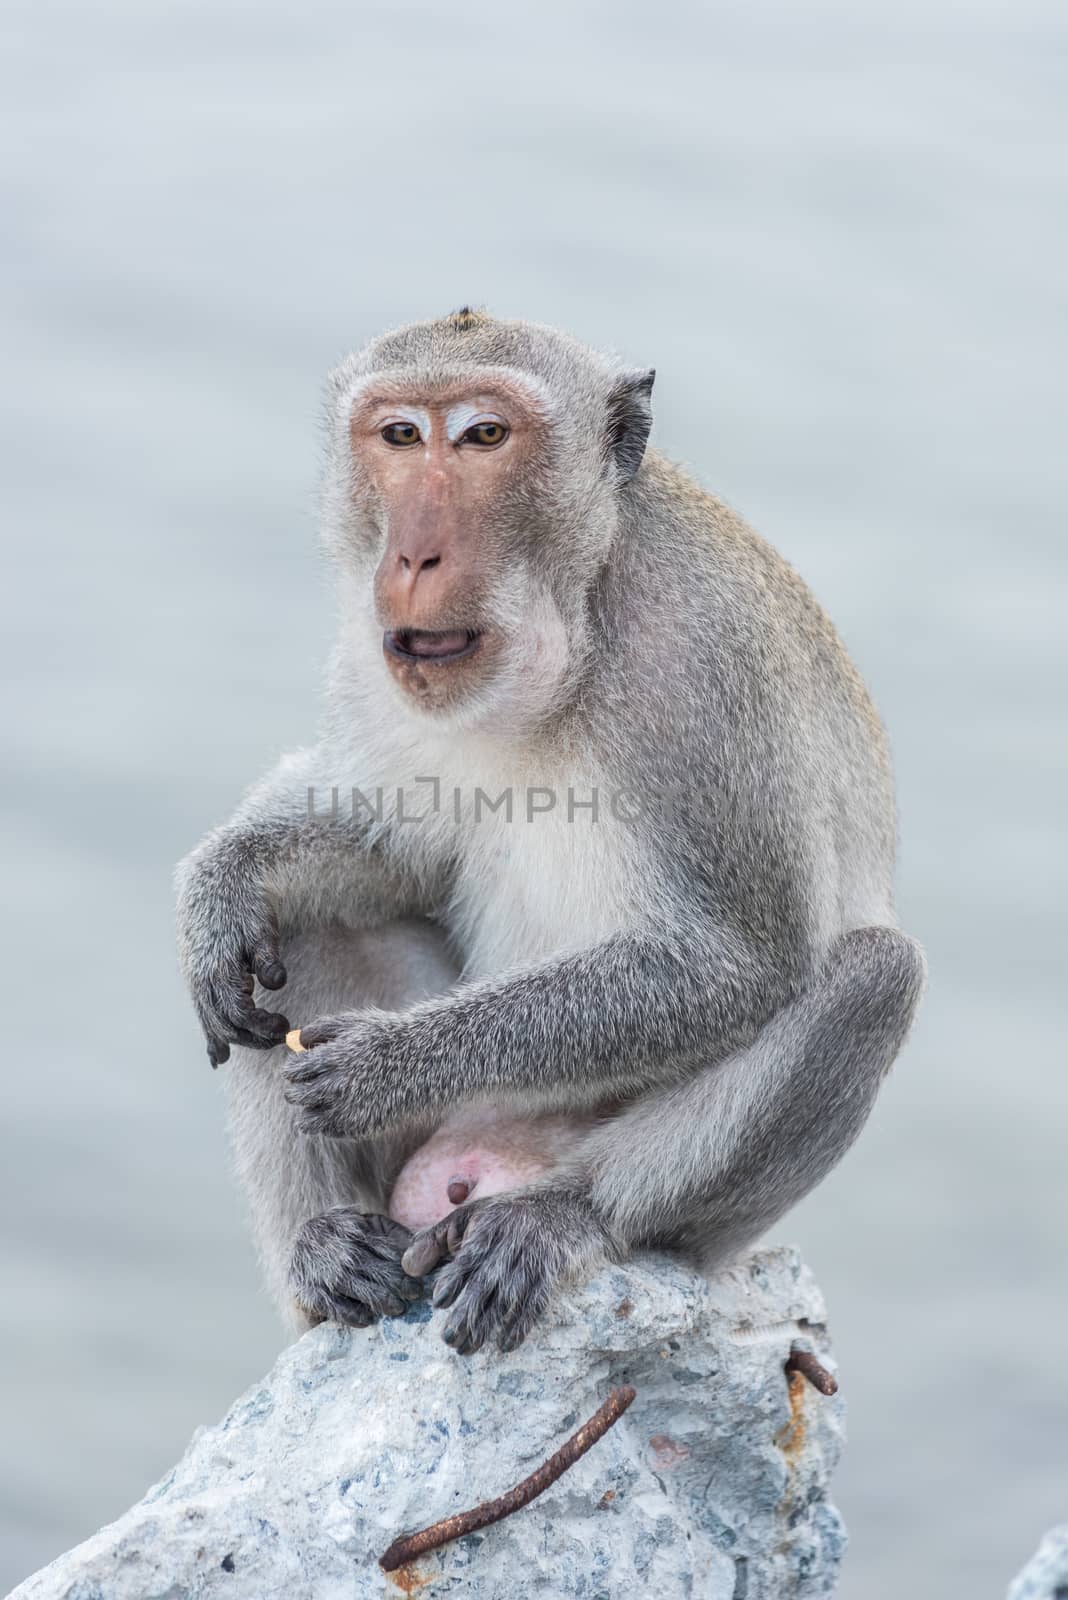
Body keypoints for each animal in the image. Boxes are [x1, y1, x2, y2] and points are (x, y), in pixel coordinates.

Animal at [175, 308, 927, 1350]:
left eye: (485, 436)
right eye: (400, 435)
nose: (413, 558)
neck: (570, 620)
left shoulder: (706, 664)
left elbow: (740, 961)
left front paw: (388, 1064)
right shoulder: (369, 661)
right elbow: (395, 850)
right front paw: (224, 883)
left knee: (874, 977)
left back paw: (564, 1216)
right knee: (292, 941)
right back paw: (326, 1248)